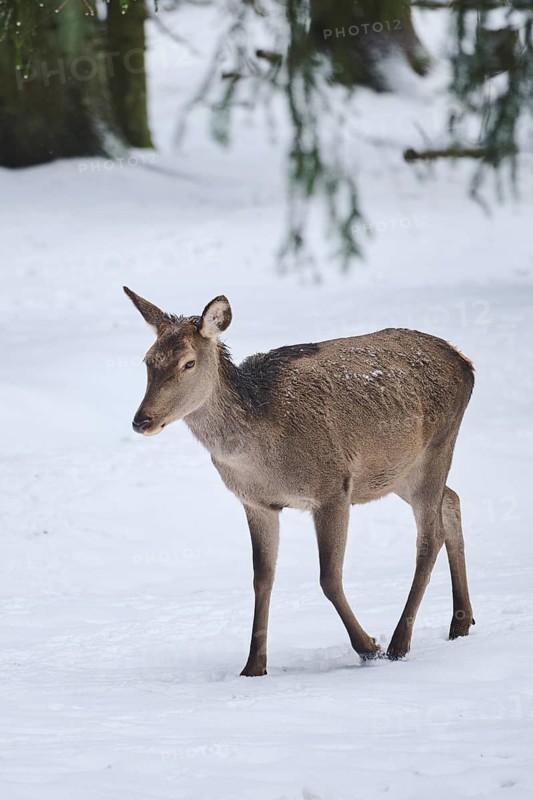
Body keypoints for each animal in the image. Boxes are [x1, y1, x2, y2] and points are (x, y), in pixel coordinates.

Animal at [124, 287, 475, 676]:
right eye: (147, 361)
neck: (262, 455)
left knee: (429, 536)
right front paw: (253, 666)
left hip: (437, 445)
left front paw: (368, 646)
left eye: (188, 363)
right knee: (453, 500)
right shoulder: (256, 502)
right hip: (397, 471)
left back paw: (400, 642)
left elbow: (329, 578)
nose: (142, 420)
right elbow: (262, 579)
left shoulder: (333, 486)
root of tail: (465, 361)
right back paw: (461, 622)